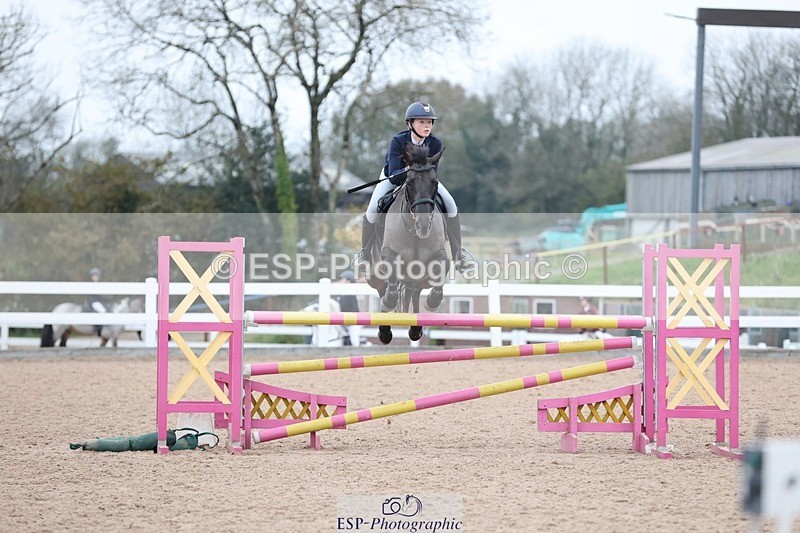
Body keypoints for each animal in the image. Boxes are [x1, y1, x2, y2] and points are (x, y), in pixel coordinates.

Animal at [363, 145, 450, 344]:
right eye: (409, 183)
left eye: (435, 183)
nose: (424, 225)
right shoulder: (388, 255)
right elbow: (392, 288)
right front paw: (389, 302)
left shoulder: (438, 255)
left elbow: (442, 267)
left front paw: (432, 302)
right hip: (374, 274)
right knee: (383, 288)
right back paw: (385, 329)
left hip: (420, 279)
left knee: (415, 291)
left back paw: (416, 329)